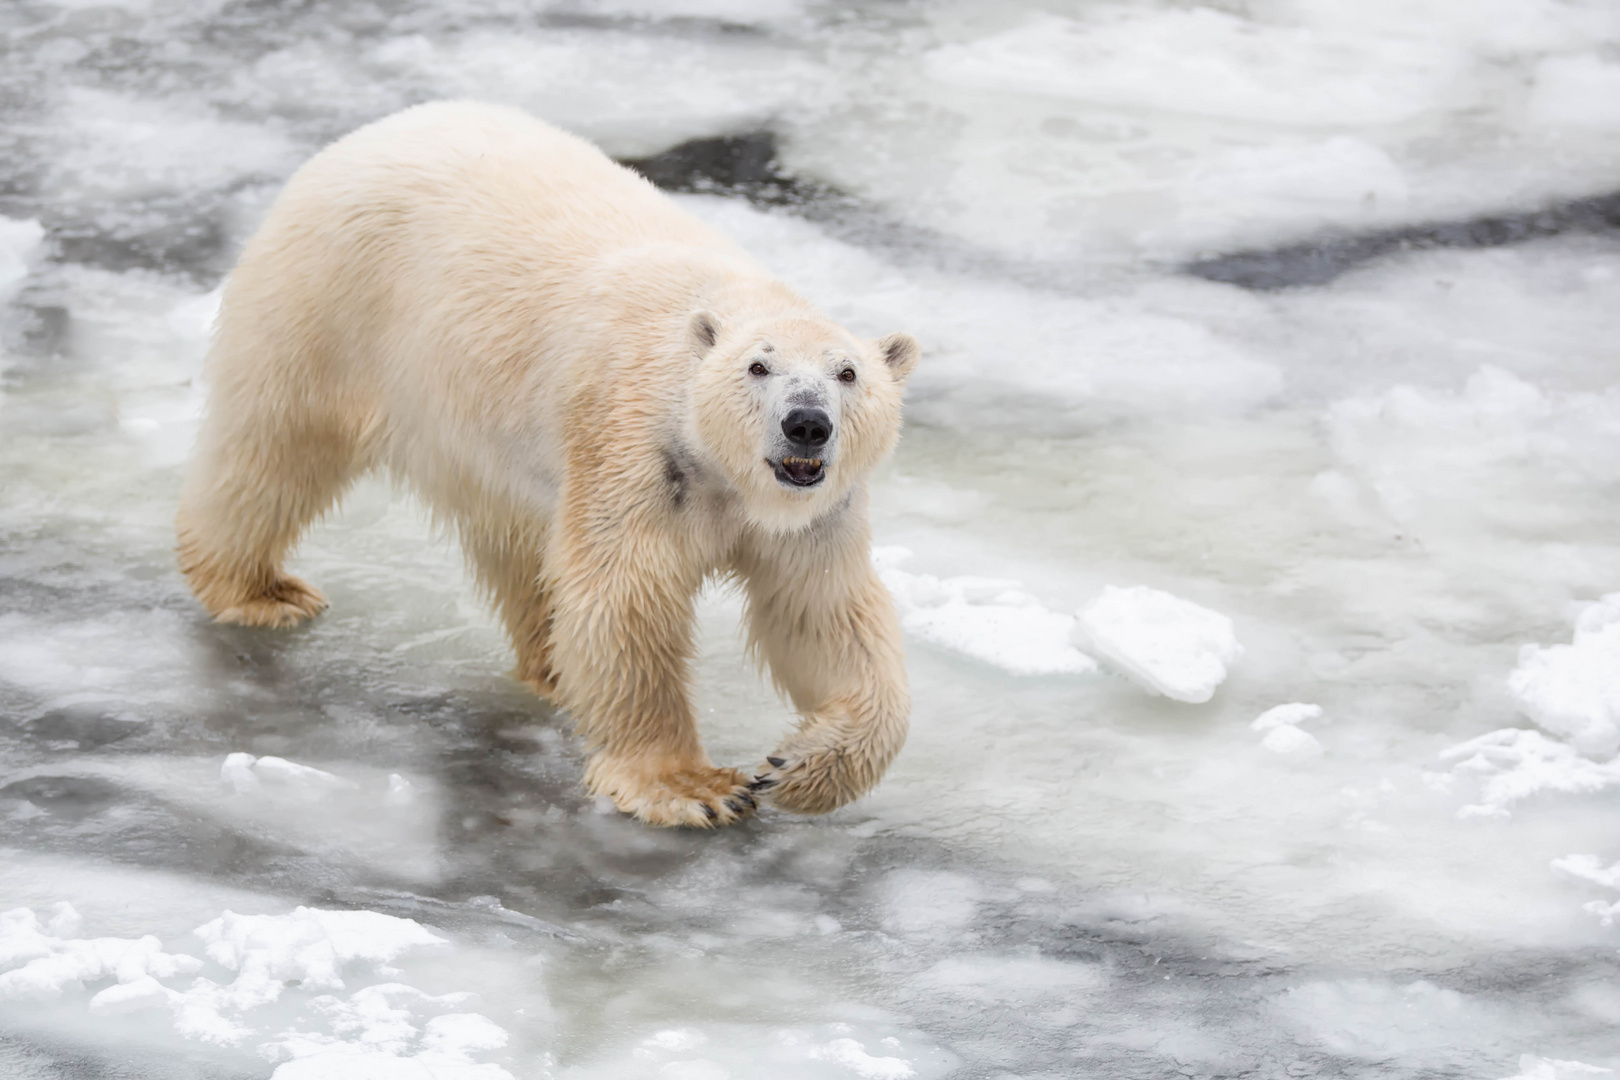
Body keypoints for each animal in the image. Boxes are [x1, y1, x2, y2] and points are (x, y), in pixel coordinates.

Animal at [174, 103, 926, 829]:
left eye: (848, 373)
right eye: (758, 366)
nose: (807, 423)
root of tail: (372, 131)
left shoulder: (814, 519)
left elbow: (823, 616)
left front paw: (800, 770)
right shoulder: (635, 453)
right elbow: (625, 597)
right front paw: (690, 787)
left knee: (522, 547)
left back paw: (552, 665)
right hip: (330, 301)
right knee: (276, 446)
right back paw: (260, 590)